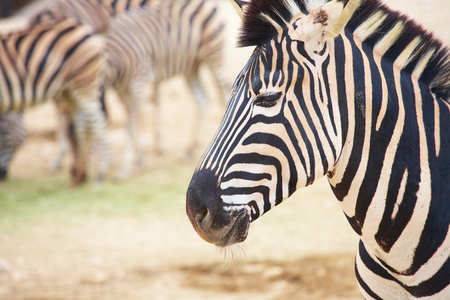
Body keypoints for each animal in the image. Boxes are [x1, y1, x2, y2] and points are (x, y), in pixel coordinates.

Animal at [0, 18, 109, 185]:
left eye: (2, 136)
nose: (2, 175)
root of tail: (84, 28)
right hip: (68, 91)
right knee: (81, 124)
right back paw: (78, 177)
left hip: (85, 83)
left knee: (98, 123)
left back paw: (100, 175)